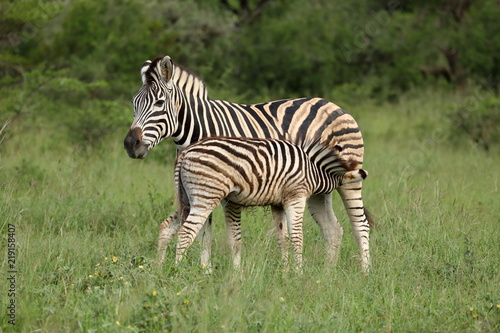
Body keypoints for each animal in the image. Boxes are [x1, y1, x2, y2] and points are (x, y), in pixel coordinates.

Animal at [170, 136, 366, 268]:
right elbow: (297, 237)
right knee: (185, 233)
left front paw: (285, 272)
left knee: (200, 235)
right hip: (206, 196)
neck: (314, 170)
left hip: (193, 199)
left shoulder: (277, 204)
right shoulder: (296, 196)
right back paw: (178, 270)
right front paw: (299, 272)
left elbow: (283, 238)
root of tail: (187, 151)